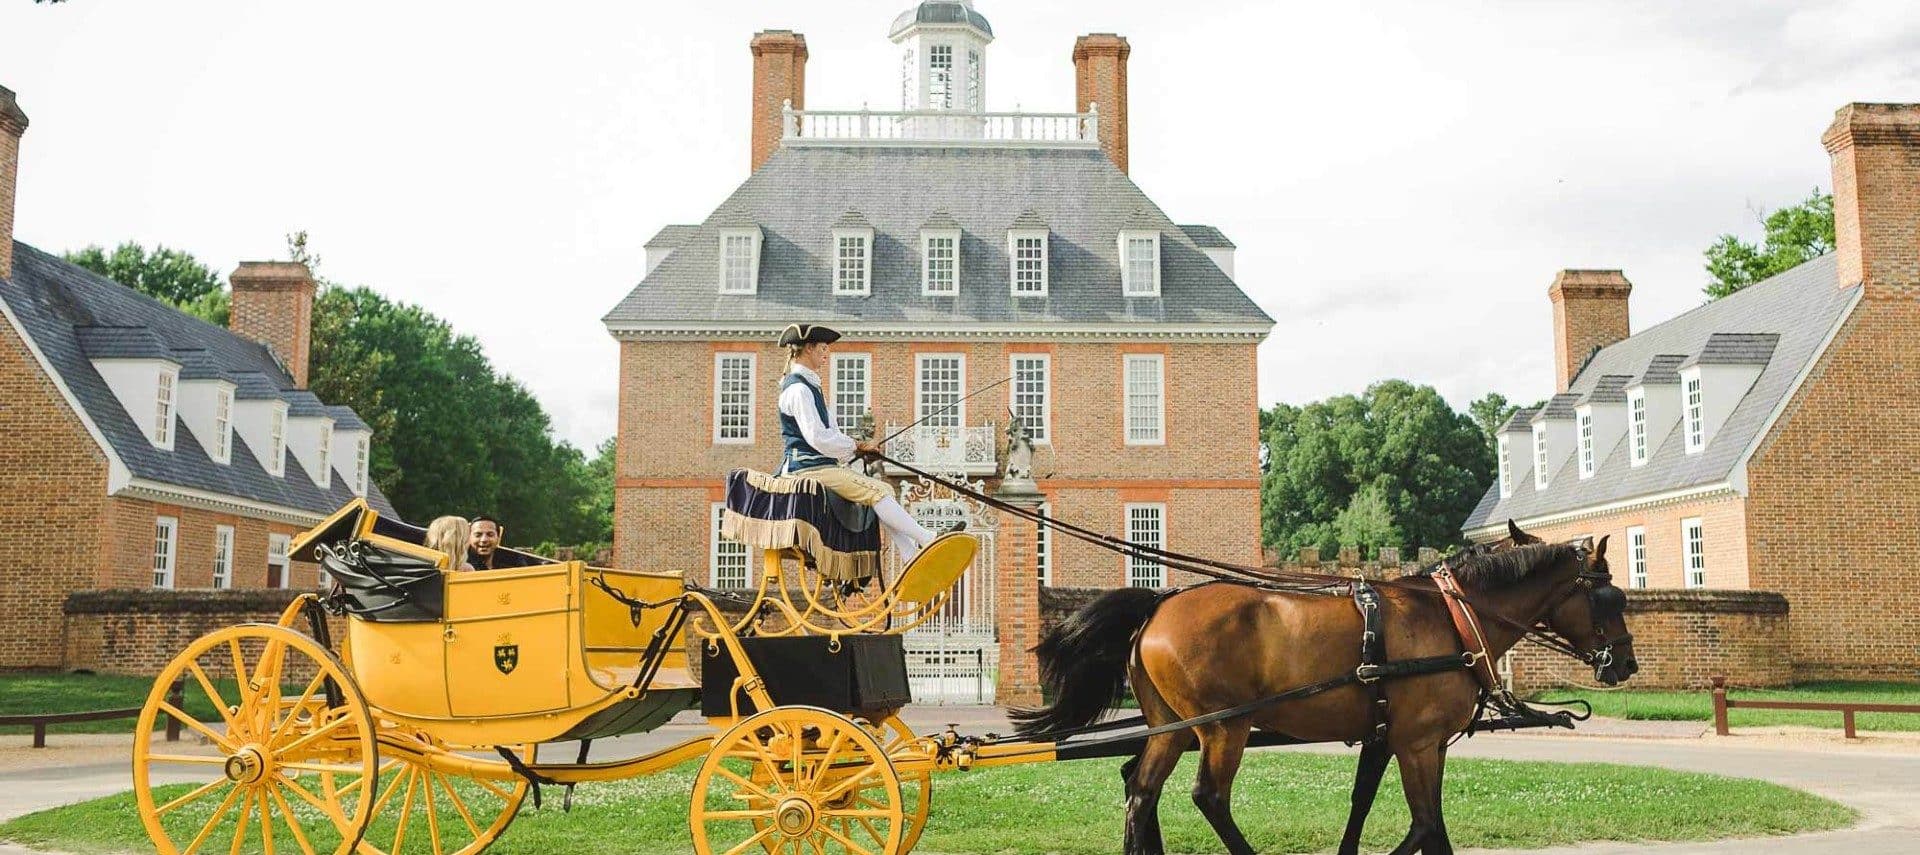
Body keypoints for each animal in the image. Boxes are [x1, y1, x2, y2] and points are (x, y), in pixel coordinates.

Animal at [1021, 537, 1635, 849]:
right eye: (1611, 597)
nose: (1624, 663)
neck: (1450, 618)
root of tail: (1158, 604)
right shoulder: (1415, 743)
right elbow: (1426, 825)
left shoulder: (1396, 739)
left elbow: (1389, 812)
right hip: (1224, 726)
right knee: (1208, 797)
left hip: (1172, 727)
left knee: (1140, 790)